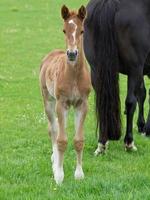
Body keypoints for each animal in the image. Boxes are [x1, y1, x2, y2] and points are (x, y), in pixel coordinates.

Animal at [39, 5, 91, 184]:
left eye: (82, 31)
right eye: (64, 30)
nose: (72, 54)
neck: (74, 76)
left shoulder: (82, 104)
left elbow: (78, 140)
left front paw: (79, 174)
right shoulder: (62, 103)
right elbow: (61, 140)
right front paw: (59, 176)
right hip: (49, 101)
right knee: (53, 130)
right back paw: (55, 163)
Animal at [84, 0, 149, 155]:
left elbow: (142, 93)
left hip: (96, 69)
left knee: (101, 101)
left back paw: (102, 142)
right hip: (135, 68)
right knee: (131, 102)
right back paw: (129, 142)